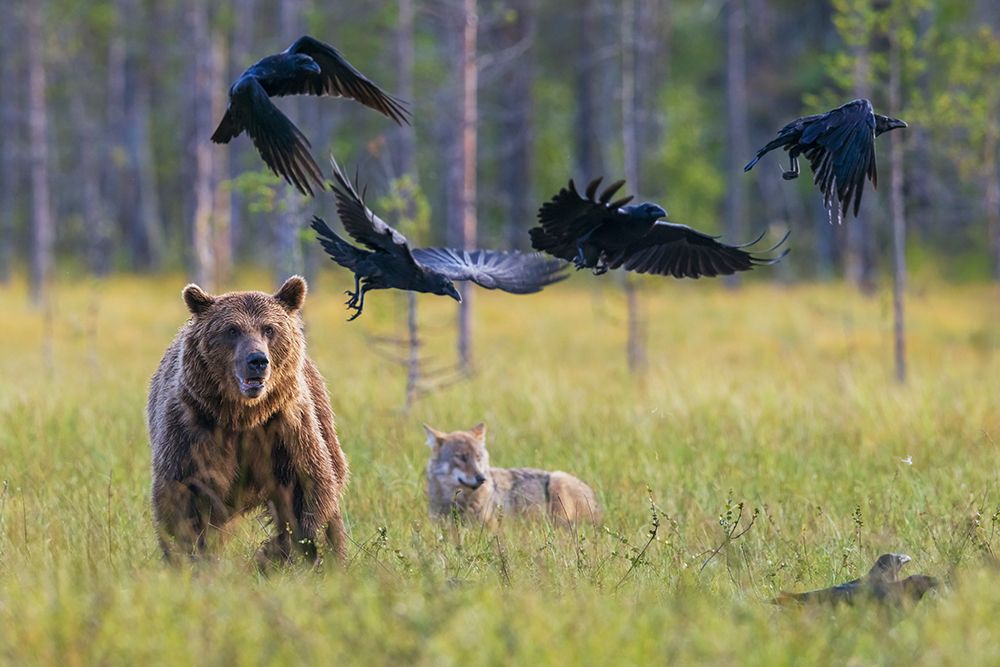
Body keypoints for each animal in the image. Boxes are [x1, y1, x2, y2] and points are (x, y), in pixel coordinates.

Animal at [146, 276, 348, 565]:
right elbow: (183, 497)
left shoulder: (285, 429)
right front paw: (189, 556)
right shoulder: (193, 430)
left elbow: (306, 490)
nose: (257, 360)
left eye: (269, 329)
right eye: (232, 330)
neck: (243, 416)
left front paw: (284, 552)